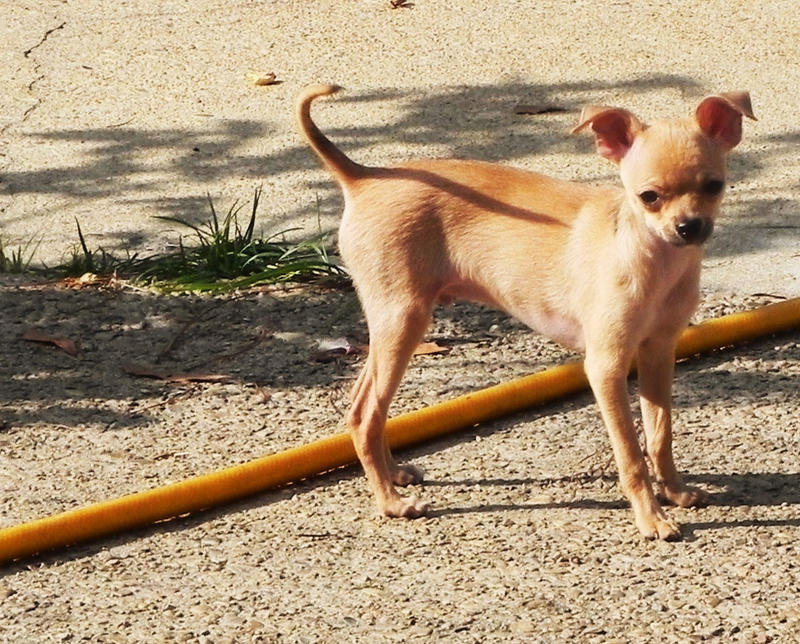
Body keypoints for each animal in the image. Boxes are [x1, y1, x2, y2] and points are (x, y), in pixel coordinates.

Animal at [296, 84, 752, 540]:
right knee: (365, 413)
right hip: (403, 321)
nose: (689, 227)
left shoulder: (659, 353)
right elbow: (630, 454)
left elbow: (660, 435)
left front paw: (675, 491)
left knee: (361, 406)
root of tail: (365, 177)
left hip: (394, 328)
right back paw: (390, 502)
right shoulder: (605, 368)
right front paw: (651, 517)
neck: (652, 259)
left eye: (714, 186)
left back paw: (393, 474)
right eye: (649, 198)